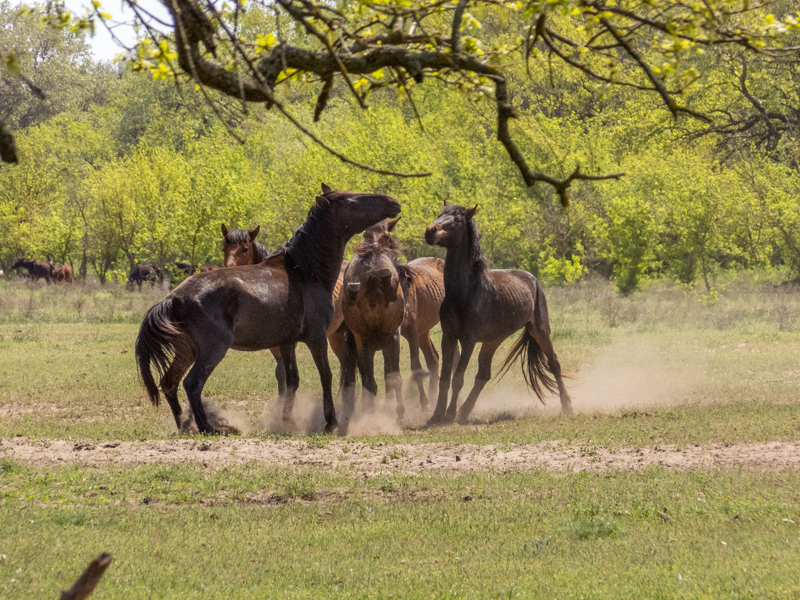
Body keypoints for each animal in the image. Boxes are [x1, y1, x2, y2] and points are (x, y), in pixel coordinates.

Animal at [135, 185, 401, 435]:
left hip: (187, 350)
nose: (393, 202)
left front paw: (286, 420)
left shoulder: (287, 342)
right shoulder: (316, 338)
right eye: (350, 200)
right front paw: (330, 422)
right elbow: (325, 375)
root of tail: (173, 297)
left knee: (169, 382)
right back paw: (207, 427)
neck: (304, 270)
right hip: (212, 350)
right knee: (192, 383)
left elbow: (292, 380)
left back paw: (185, 425)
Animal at [340, 218, 408, 425]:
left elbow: (383, 378)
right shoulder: (391, 340)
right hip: (376, 342)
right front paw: (397, 412)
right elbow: (392, 377)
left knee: (368, 381)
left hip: (364, 343)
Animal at [424, 204, 573, 424]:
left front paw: (449, 415)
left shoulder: (469, 340)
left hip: (540, 330)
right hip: (492, 341)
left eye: (458, 219)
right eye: (440, 214)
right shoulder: (448, 337)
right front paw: (437, 415)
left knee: (553, 363)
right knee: (483, 375)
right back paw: (464, 412)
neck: (466, 292)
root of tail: (532, 279)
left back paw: (567, 405)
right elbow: (445, 378)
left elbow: (458, 378)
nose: (430, 231)